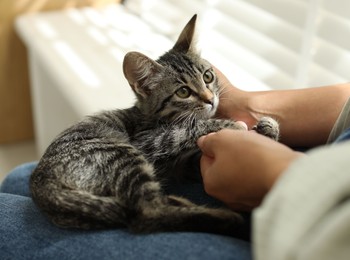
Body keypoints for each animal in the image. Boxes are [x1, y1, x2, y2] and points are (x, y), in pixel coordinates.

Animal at [31, 14, 280, 235]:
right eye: (183, 92)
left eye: (208, 77)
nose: (211, 99)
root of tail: (41, 185)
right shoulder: (148, 140)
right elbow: (183, 131)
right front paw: (229, 124)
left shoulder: (188, 165)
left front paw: (268, 128)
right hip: (121, 154)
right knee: (147, 213)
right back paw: (224, 218)